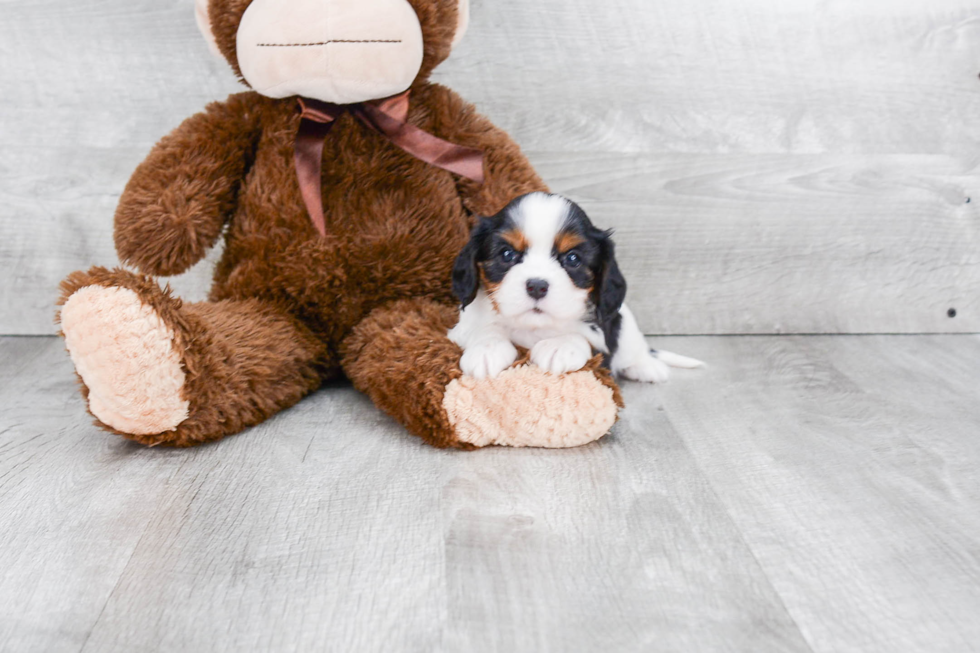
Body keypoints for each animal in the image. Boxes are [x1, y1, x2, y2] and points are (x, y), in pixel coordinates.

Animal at [448, 191, 700, 380]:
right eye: (507, 254)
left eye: (572, 259)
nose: (537, 286)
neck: (533, 327)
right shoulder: (459, 331)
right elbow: (485, 328)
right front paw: (486, 348)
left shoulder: (602, 344)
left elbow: (582, 337)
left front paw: (559, 347)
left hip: (626, 325)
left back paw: (646, 367)